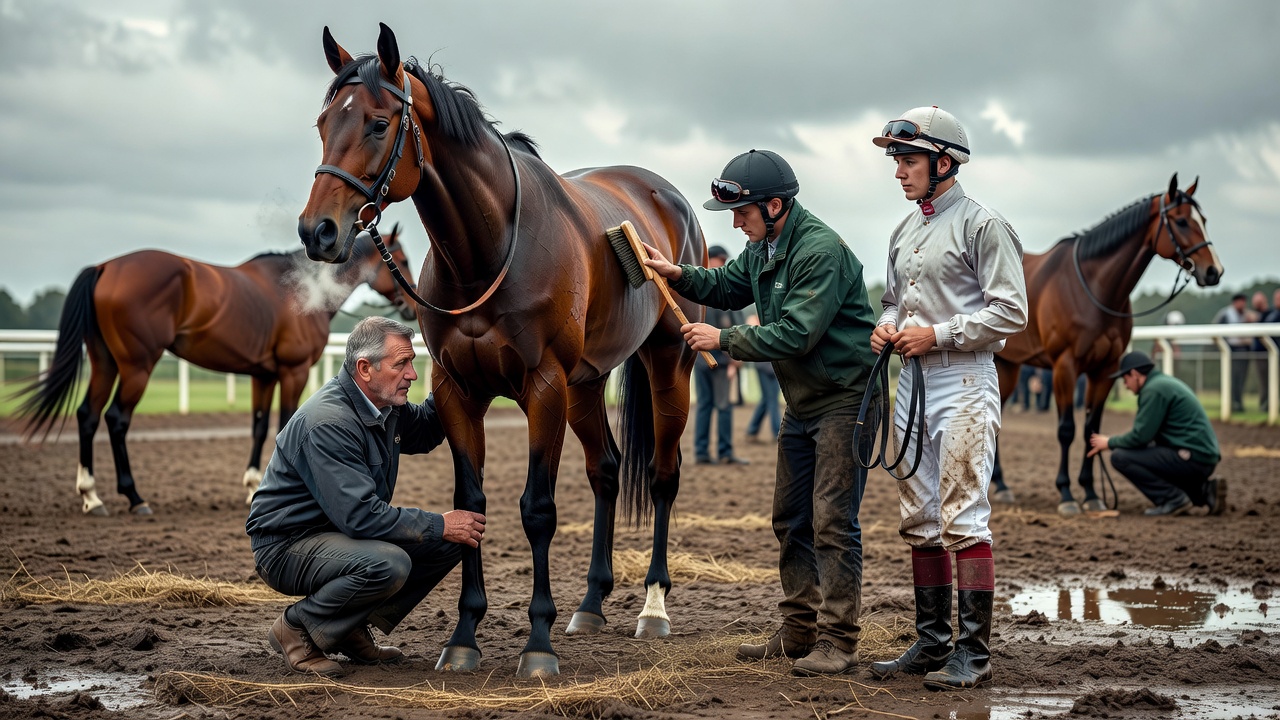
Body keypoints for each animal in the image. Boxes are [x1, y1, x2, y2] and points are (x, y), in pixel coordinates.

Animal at [15, 226, 415, 516]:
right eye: (401, 259)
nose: (412, 306)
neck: (305, 291)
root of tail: (106, 268)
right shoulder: (293, 371)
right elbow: (284, 421)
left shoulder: (263, 375)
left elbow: (259, 426)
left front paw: (253, 485)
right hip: (136, 366)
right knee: (116, 418)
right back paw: (134, 497)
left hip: (105, 362)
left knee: (88, 415)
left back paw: (91, 496)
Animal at [297, 24, 705, 677]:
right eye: (323, 121)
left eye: (379, 124)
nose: (319, 231)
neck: (487, 253)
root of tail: (665, 197)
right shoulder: (456, 390)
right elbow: (470, 505)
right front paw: (464, 636)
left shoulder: (543, 387)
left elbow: (537, 508)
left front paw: (537, 645)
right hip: (586, 385)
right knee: (606, 471)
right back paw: (591, 603)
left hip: (669, 363)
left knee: (663, 476)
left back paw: (653, 607)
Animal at [991, 174, 1222, 515]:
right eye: (1181, 221)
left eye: (1204, 220)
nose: (1214, 271)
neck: (1094, 288)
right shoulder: (1065, 367)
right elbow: (1066, 430)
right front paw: (1066, 494)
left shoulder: (1104, 369)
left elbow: (1091, 430)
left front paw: (1090, 493)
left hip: (1007, 367)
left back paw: (1002, 485)